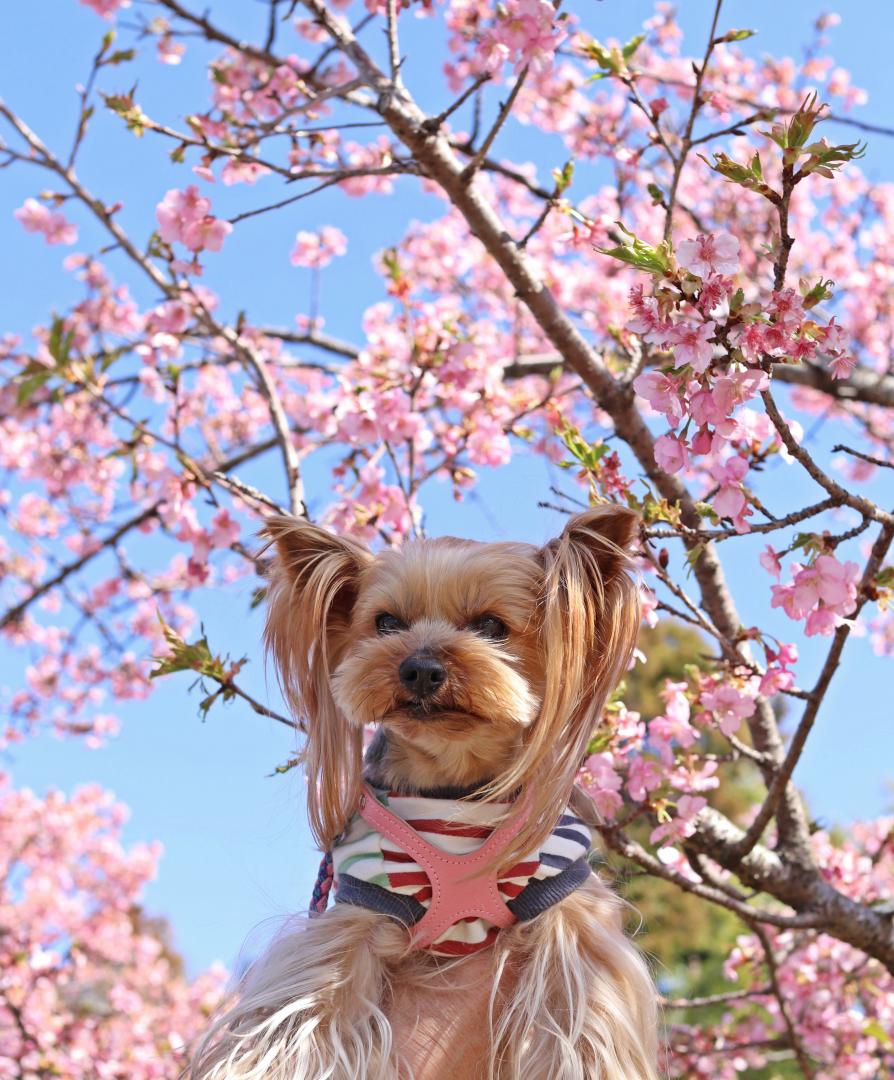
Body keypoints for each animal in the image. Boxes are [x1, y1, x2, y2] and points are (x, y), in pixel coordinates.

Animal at [188, 507, 660, 1080]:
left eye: (491, 626)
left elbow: (580, 1012)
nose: (419, 668)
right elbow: (300, 1007)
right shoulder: (361, 907)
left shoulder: (564, 906)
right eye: (386, 623)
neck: (453, 785)